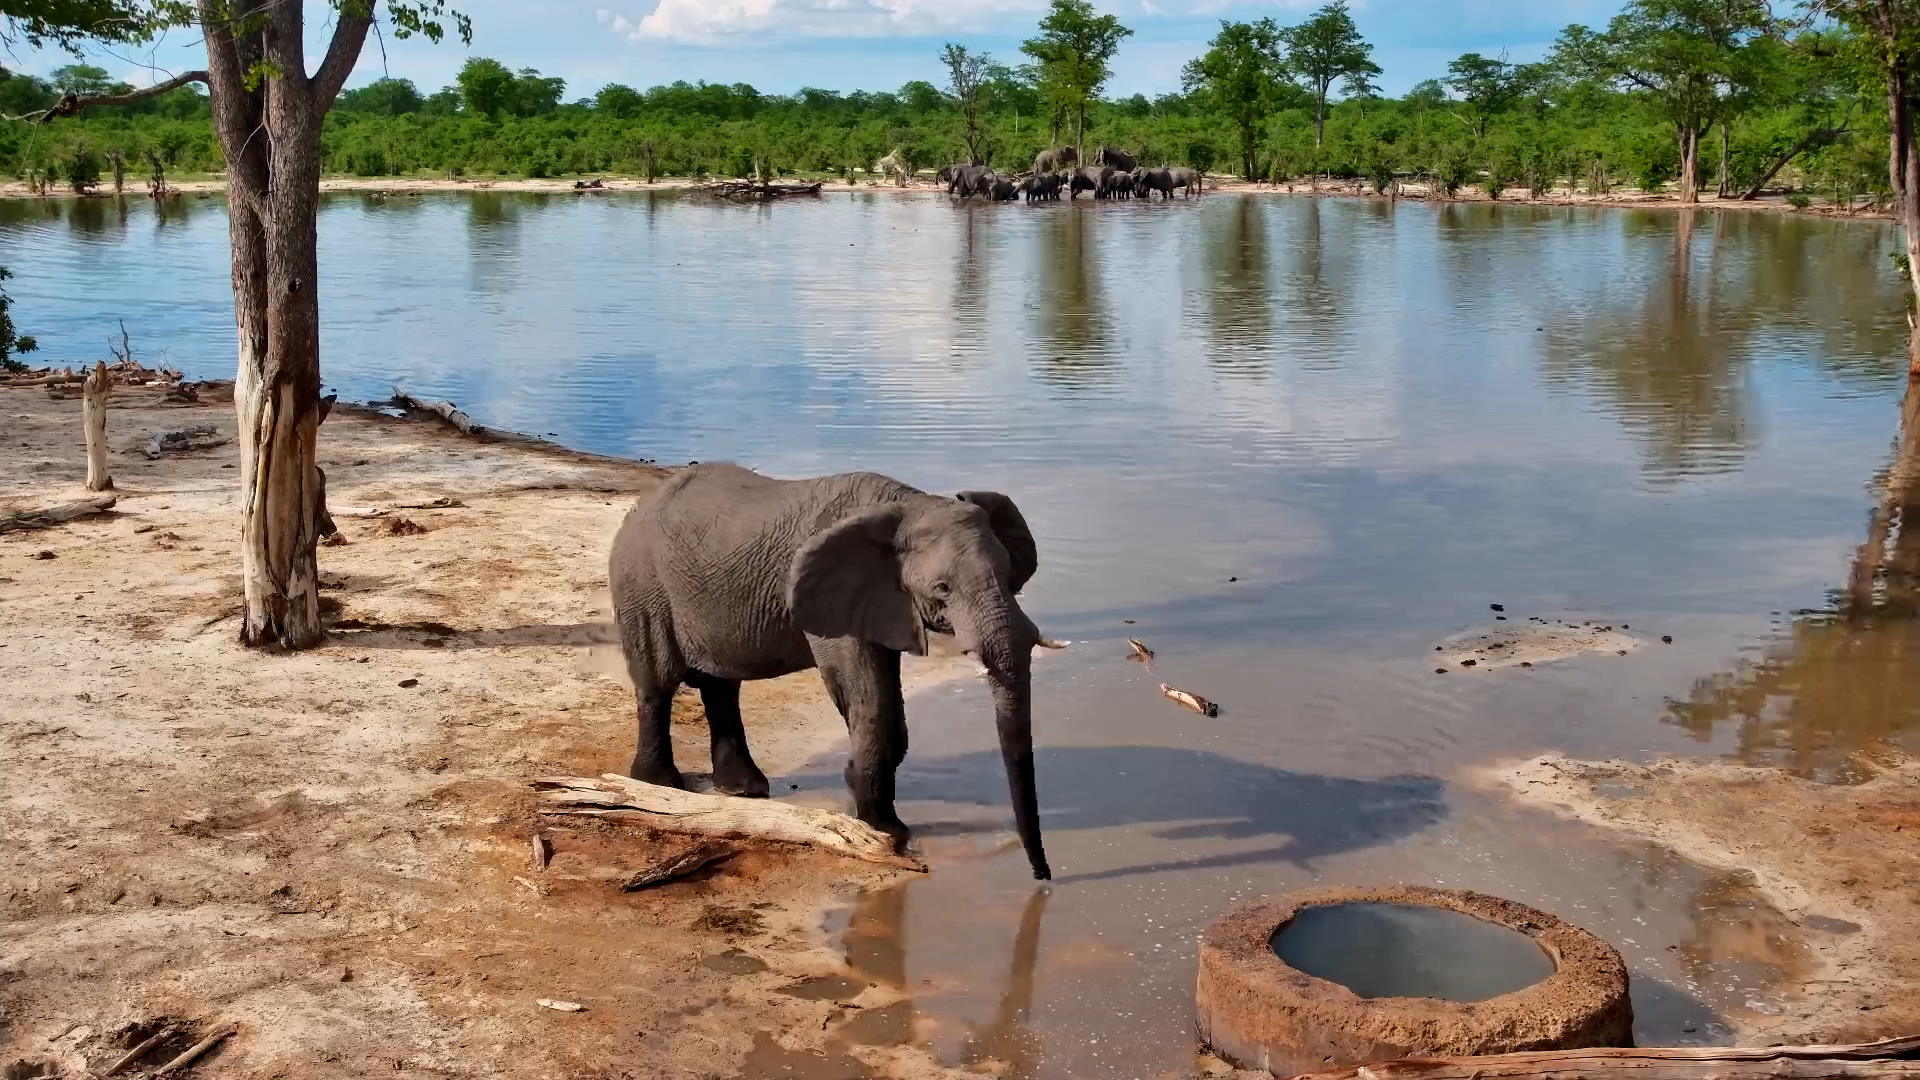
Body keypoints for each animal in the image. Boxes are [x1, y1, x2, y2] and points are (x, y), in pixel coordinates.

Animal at [608, 464, 1053, 881]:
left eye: (1008, 573)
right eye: (942, 588)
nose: (1043, 879)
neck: (909, 505)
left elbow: (888, 706)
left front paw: (886, 824)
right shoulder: (834, 601)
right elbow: (866, 696)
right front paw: (886, 831)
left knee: (722, 686)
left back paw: (743, 790)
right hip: (642, 585)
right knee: (658, 683)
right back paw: (658, 785)